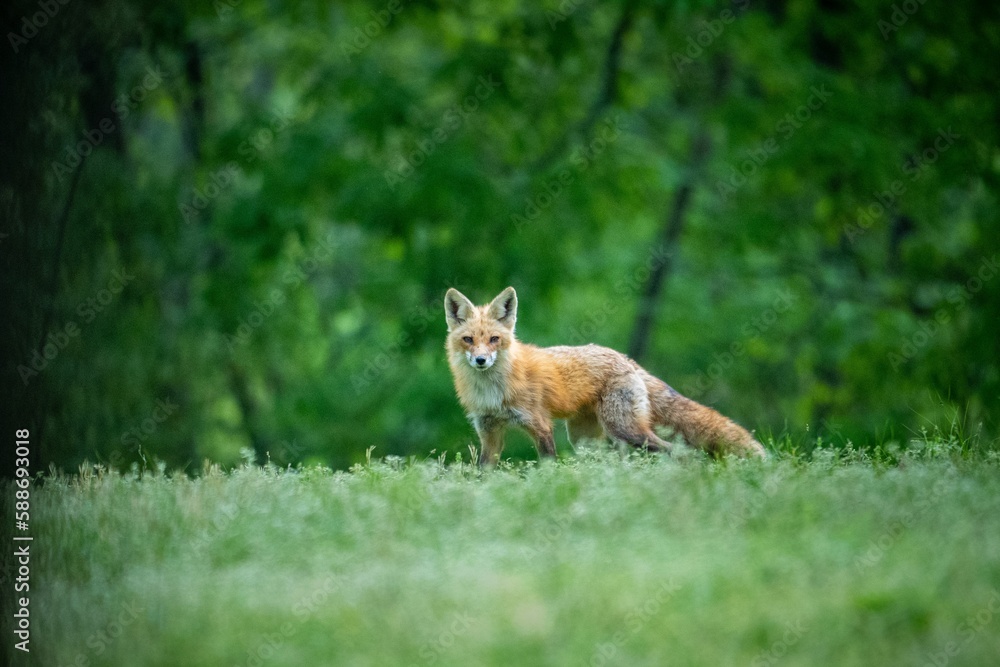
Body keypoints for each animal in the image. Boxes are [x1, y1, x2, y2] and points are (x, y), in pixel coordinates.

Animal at [444, 286, 766, 466]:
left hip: (625, 429)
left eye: (494, 339)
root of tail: (626, 359)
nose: (481, 360)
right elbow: (484, 473)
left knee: (675, 450)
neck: (492, 391)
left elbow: (548, 466)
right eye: (469, 340)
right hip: (588, 440)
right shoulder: (489, 432)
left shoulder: (540, 425)